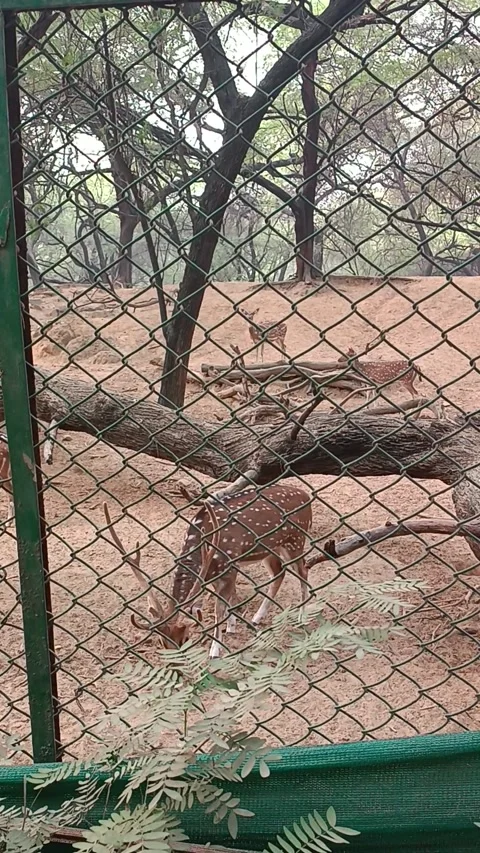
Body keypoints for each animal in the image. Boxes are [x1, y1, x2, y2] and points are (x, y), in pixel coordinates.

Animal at [103, 483, 313, 658]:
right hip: (270, 548)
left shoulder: (229, 564)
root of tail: (306, 496)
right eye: (162, 642)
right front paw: (231, 626)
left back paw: (302, 617)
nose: (174, 661)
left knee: (303, 572)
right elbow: (224, 601)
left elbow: (219, 609)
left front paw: (215, 650)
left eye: (183, 638)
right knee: (279, 572)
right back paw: (256, 618)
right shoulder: (214, 573)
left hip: (296, 539)